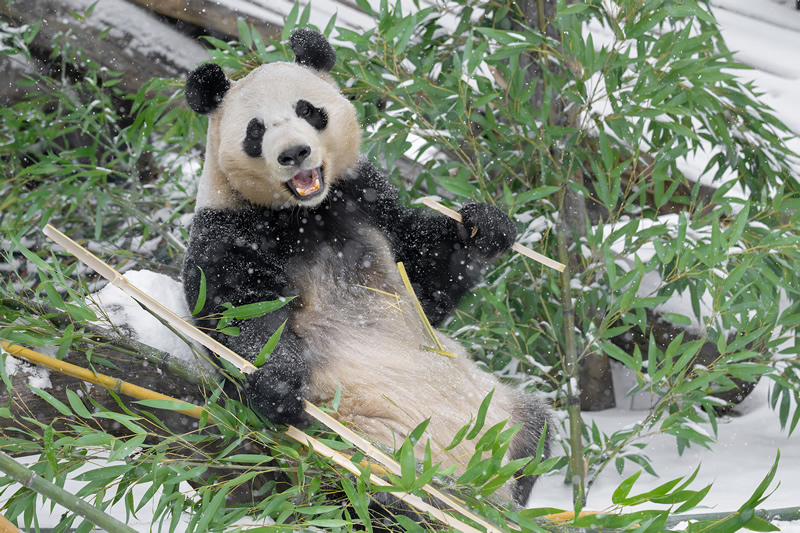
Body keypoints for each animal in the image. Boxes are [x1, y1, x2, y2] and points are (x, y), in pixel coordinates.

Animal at [182, 28, 551, 509]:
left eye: (307, 110)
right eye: (255, 130)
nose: (294, 153)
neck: (304, 214)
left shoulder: (364, 198)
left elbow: (423, 280)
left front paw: (484, 227)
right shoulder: (228, 233)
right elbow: (242, 314)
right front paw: (277, 389)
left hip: (498, 408)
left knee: (535, 433)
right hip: (367, 443)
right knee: (372, 492)